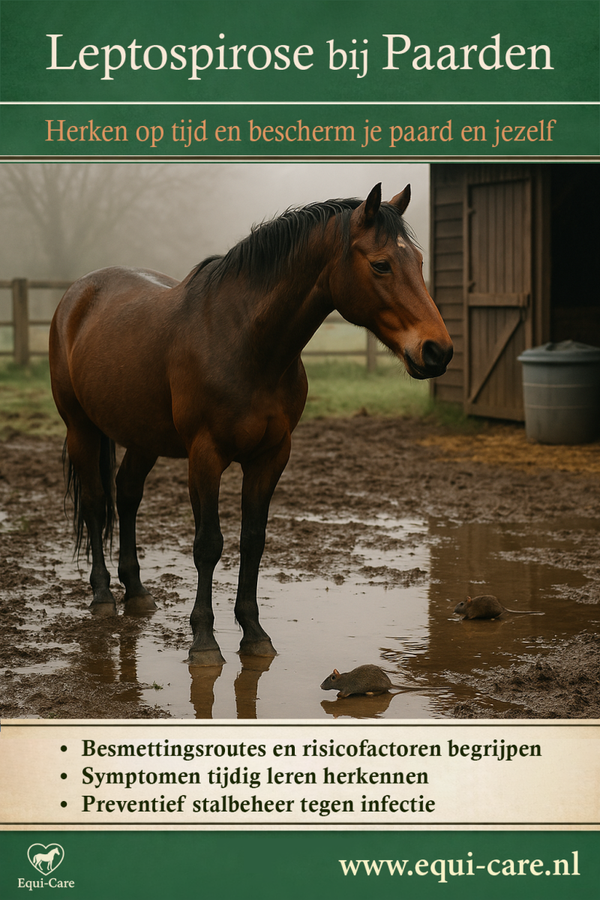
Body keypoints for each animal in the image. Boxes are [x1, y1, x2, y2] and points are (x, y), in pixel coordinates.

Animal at [49, 183, 453, 666]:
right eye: (381, 264)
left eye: (420, 262)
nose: (437, 351)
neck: (244, 340)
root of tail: (78, 293)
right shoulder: (205, 457)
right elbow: (208, 544)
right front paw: (204, 640)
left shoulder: (271, 455)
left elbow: (253, 539)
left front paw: (254, 633)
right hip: (81, 429)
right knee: (95, 503)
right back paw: (103, 596)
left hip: (143, 437)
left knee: (126, 495)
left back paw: (138, 593)